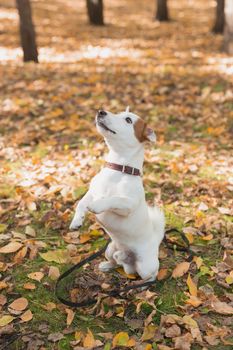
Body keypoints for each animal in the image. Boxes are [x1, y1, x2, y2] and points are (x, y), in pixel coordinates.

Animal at [69, 108, 166, 284]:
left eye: (128, 120)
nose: (101, 111)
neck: (117, 169)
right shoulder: (92, 192)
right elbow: (81, 203)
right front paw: (77, 221)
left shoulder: (127, 206)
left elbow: (114, 199)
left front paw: (97, 205)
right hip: (109, 249)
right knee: (114, 261)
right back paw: (107, 265)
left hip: (145, 266)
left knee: (151, 276)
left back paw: (141, 285)